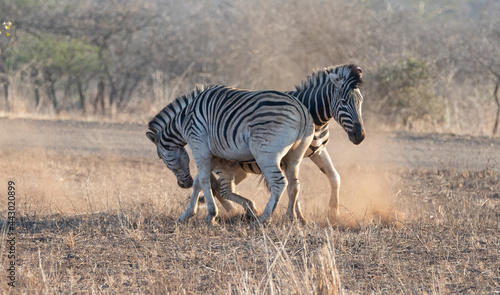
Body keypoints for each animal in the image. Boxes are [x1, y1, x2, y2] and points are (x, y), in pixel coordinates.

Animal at [146, 85, 314, 224]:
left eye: (161, 158)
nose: (183, 184)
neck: (183, 121)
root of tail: (300, 109)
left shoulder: (199, 146)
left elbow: (204, 181)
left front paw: (211, 215)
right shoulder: (213, 154)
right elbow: (199, 183)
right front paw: (186, 214)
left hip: (265, 154)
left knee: (279, 183)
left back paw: (263, 219)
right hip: (294, 156)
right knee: (294, 184)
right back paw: (292, 218)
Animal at [209, 63, 366, 223]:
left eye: (361, 101)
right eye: (344, 102)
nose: (360, 136)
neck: (314, 117)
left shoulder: (318, 151)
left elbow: (334, 178)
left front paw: (333, 213)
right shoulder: (286, 158)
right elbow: (294, 187)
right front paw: (296, 216)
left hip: (241, 169)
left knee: (218, 187)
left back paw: (234, 211)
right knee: (213, 185)